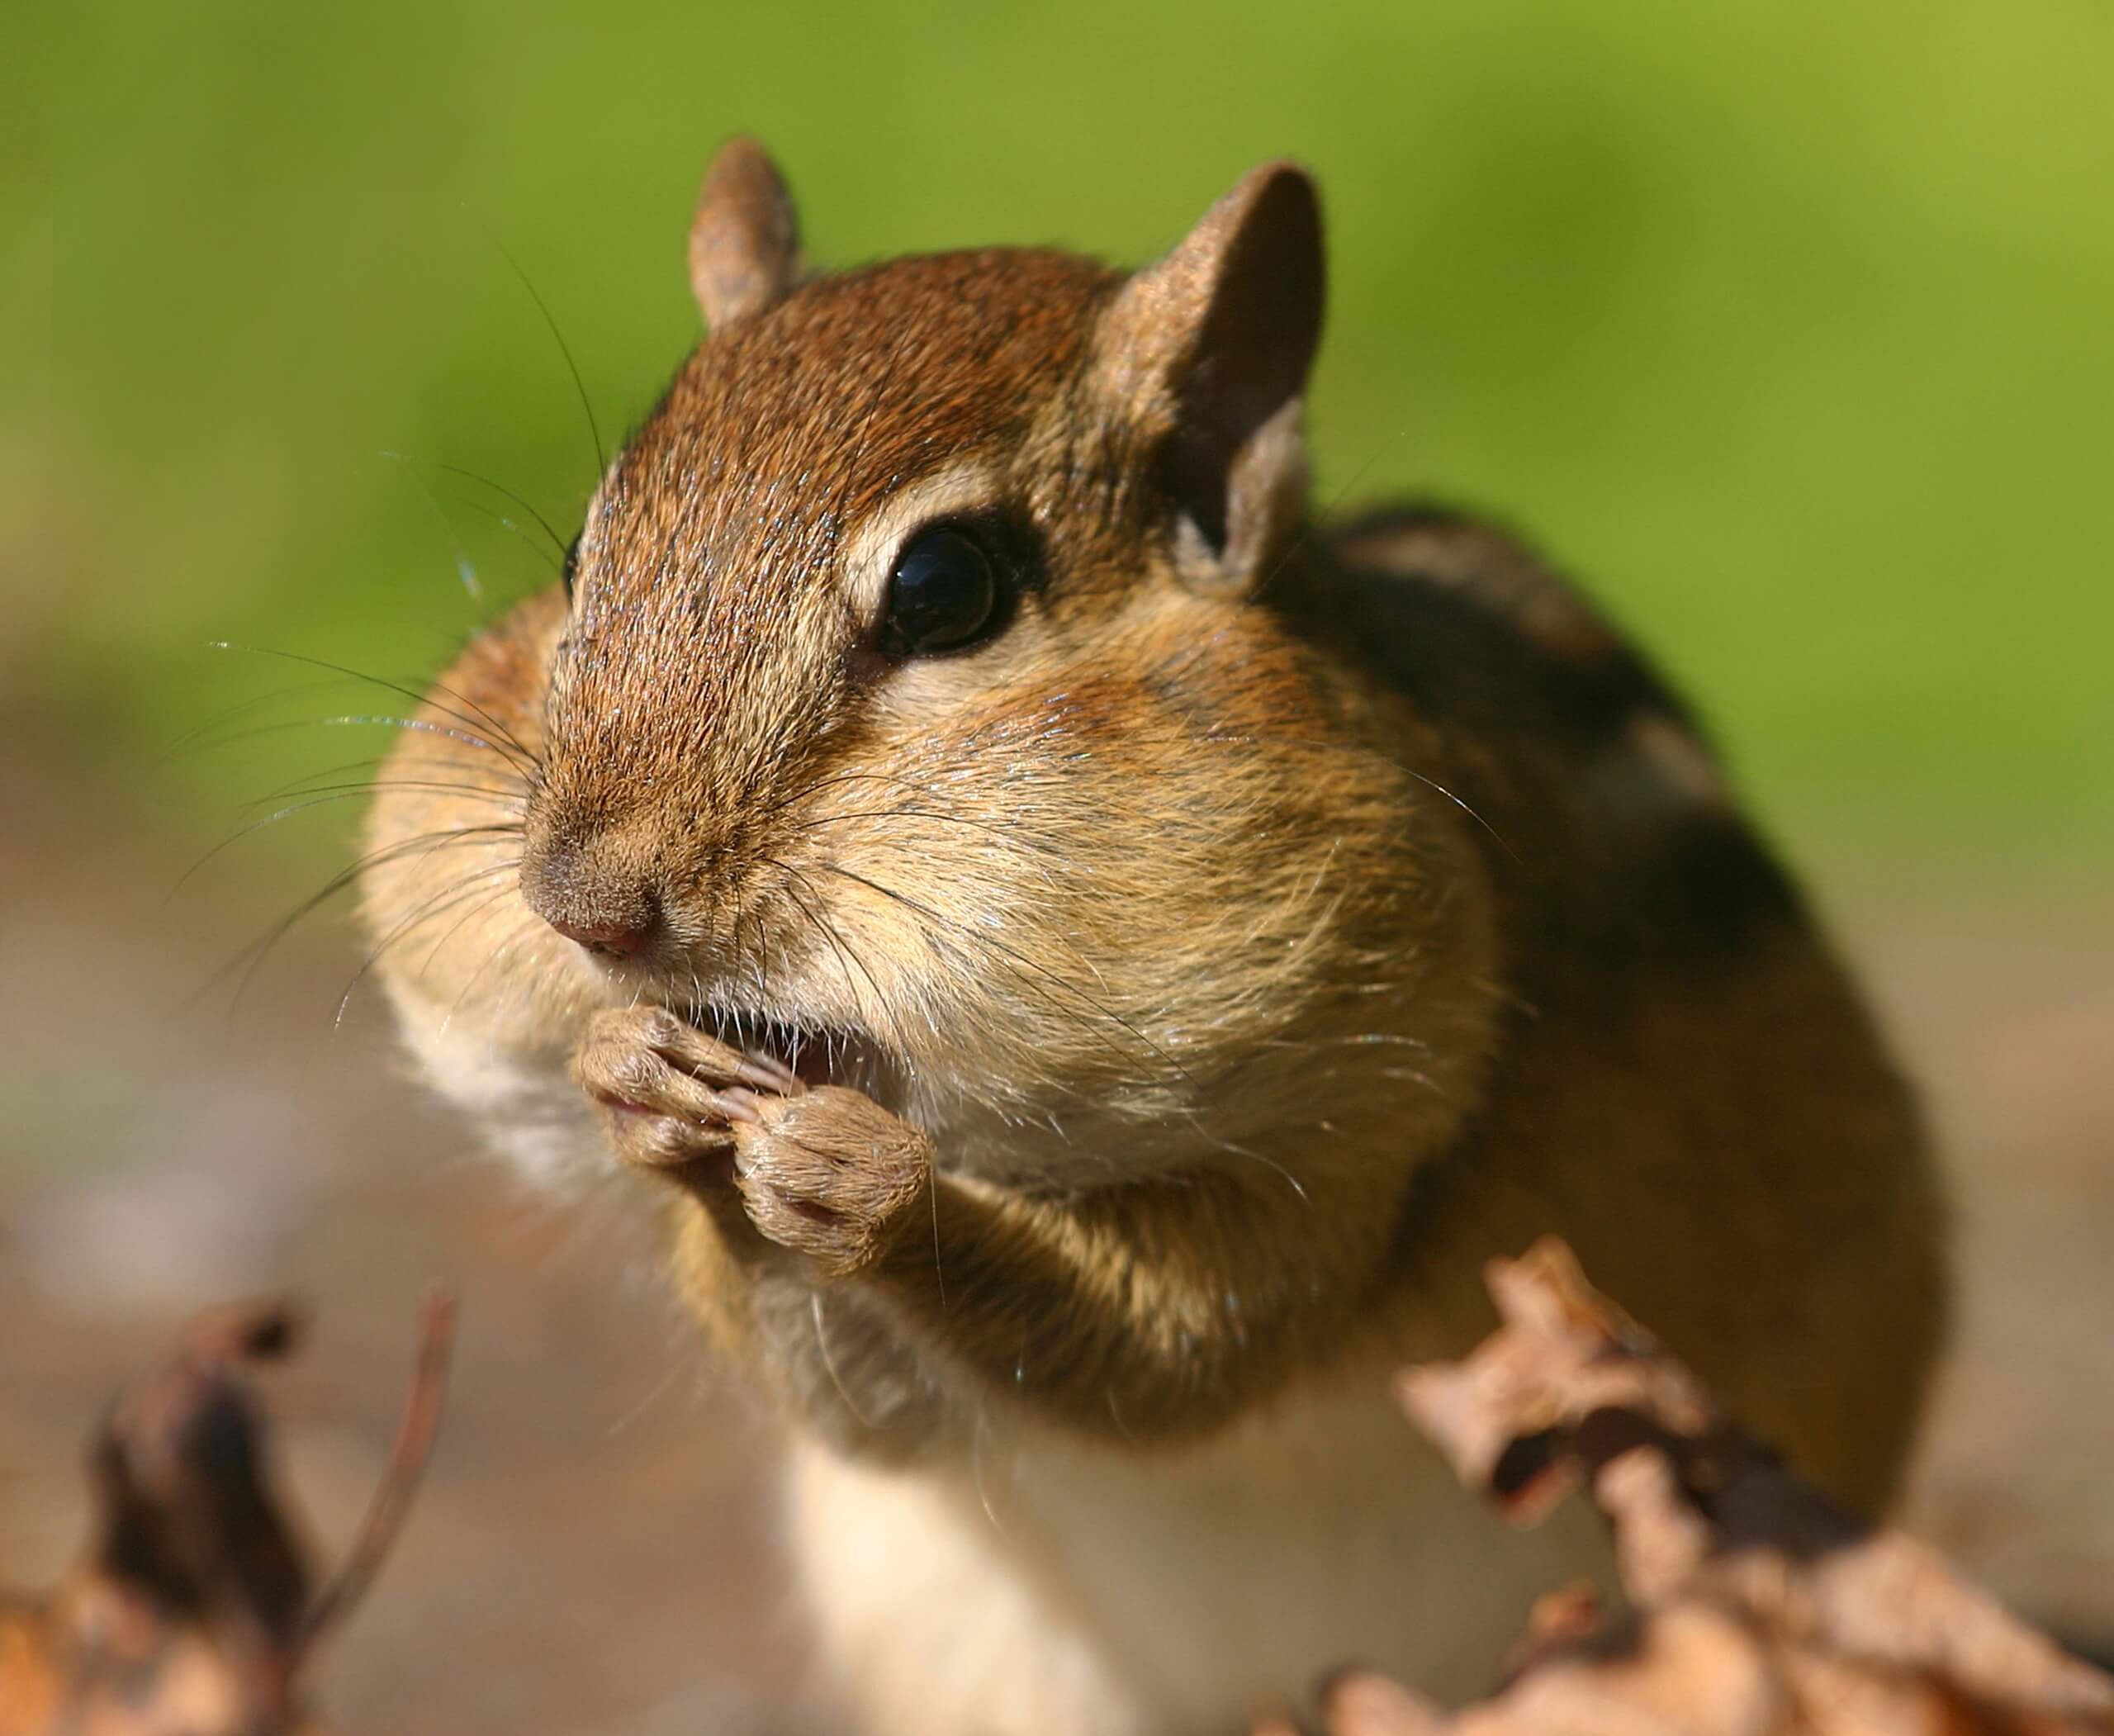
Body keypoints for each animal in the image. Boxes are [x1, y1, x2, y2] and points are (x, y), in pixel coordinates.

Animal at [358, 139, 1947, 1735]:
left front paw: (863, 1178)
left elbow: (1171, 1356)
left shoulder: (1360, 1127)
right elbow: (874, 1413)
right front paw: (634, 1084)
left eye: (945, 587)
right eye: (582, 552)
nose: (587, 904)